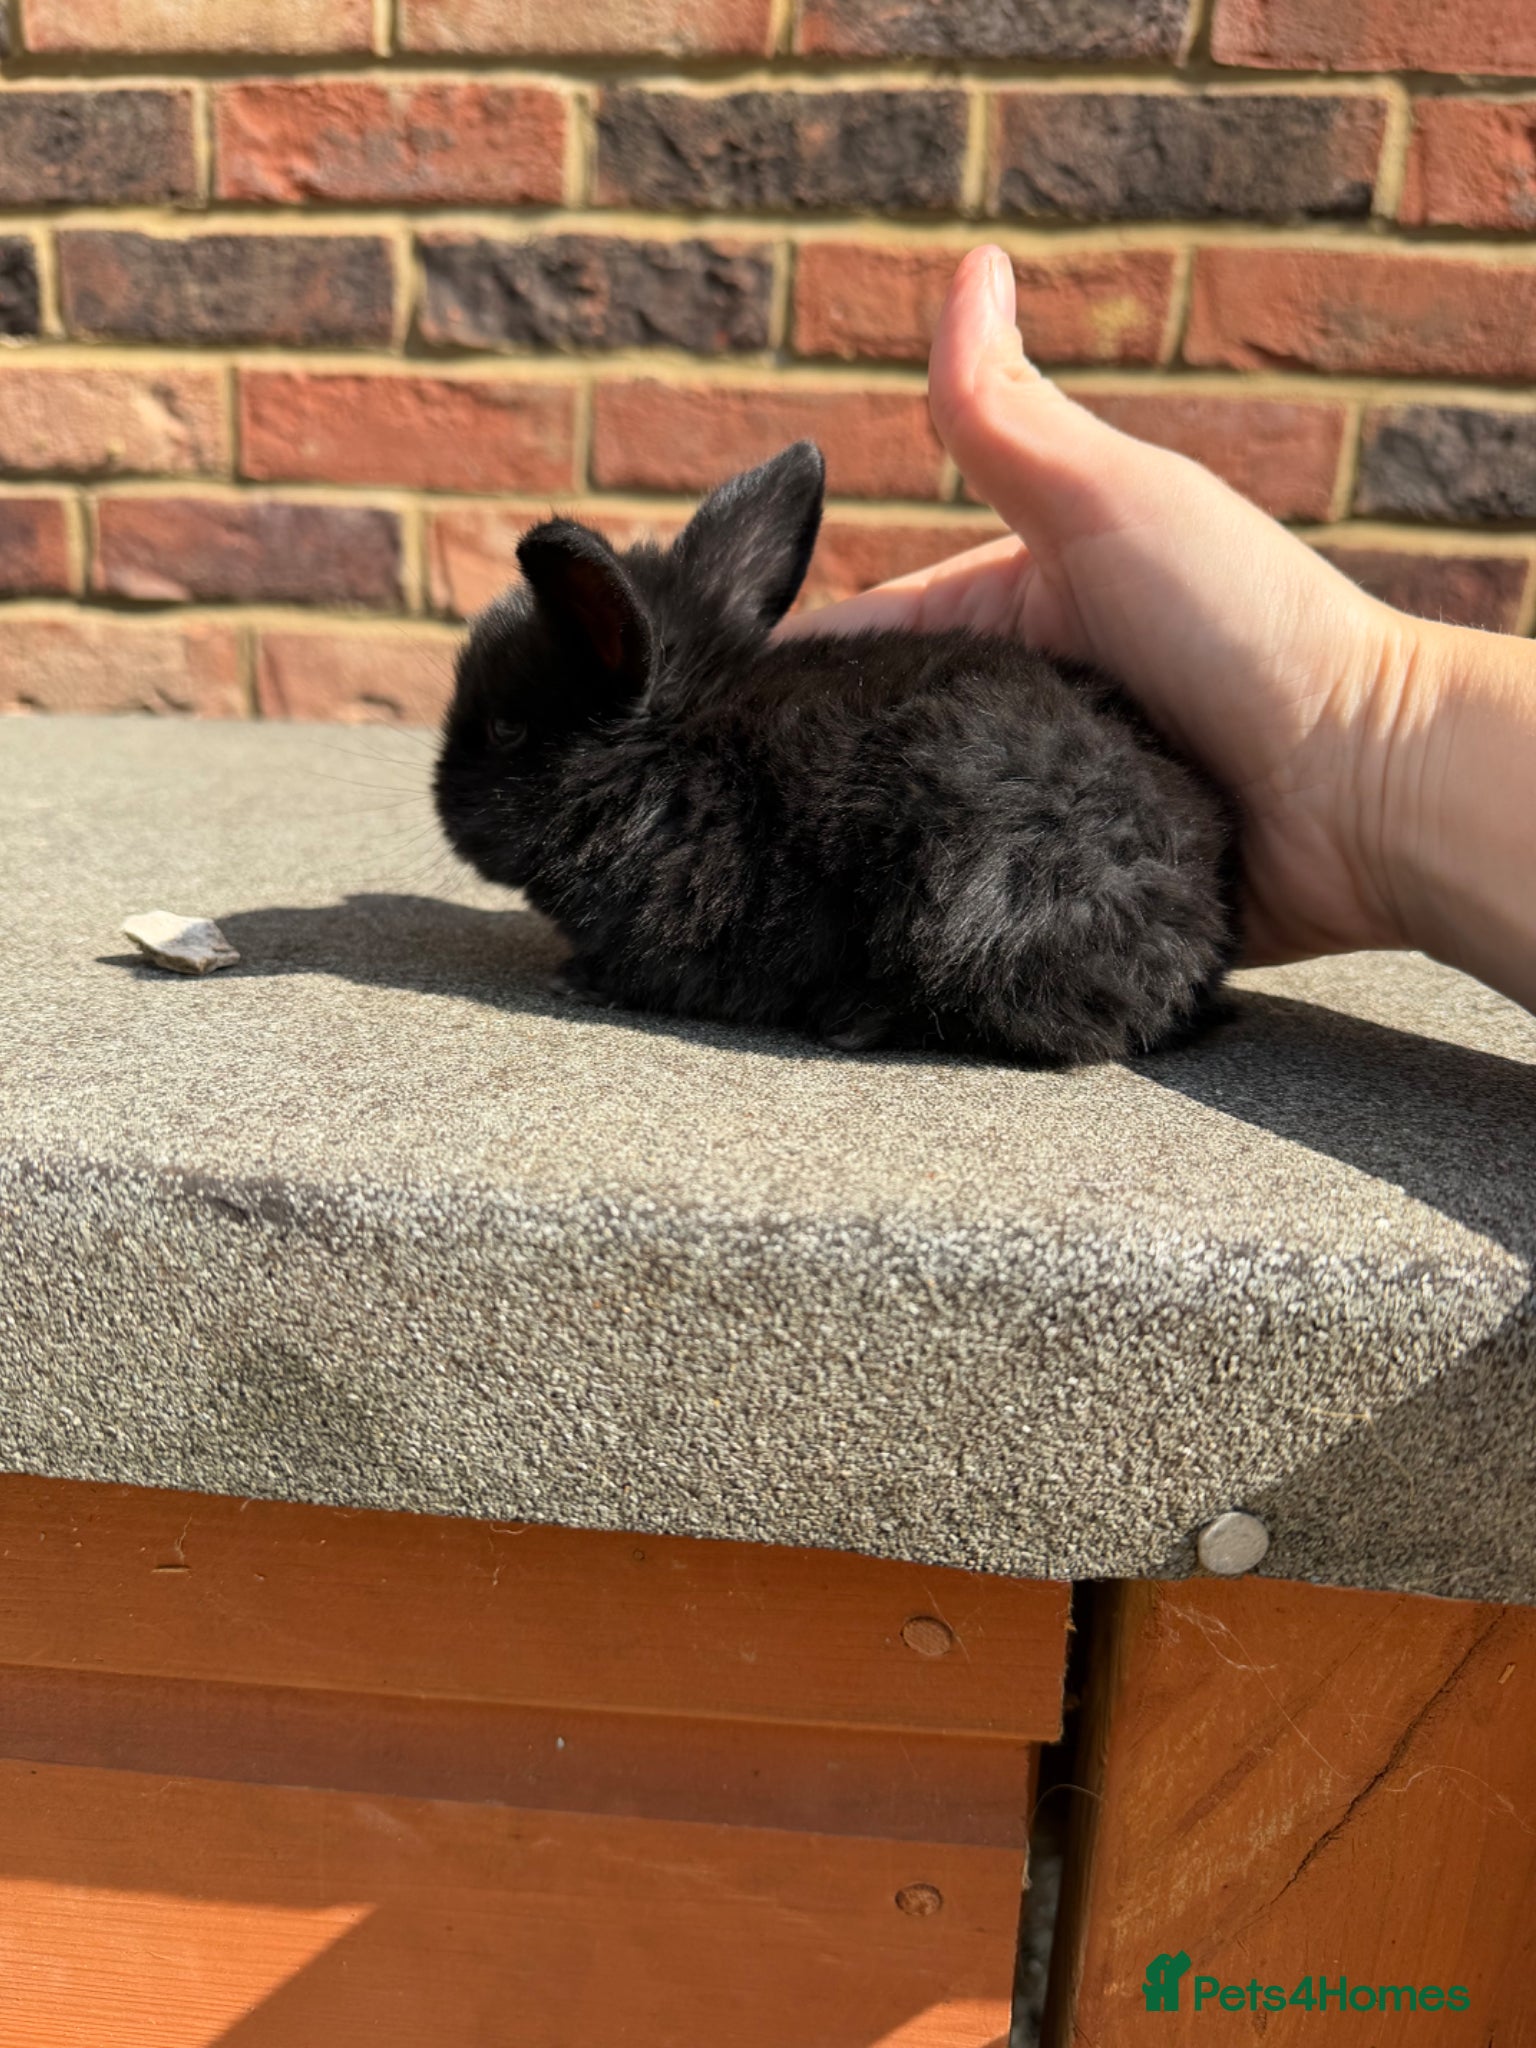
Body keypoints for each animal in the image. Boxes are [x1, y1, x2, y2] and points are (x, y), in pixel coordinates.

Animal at [434, 440, 1239, 1065]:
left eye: (505, 731)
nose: (440, 800)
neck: (662, 759)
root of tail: (1196, 932)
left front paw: (575, 979)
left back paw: (850, 1020)